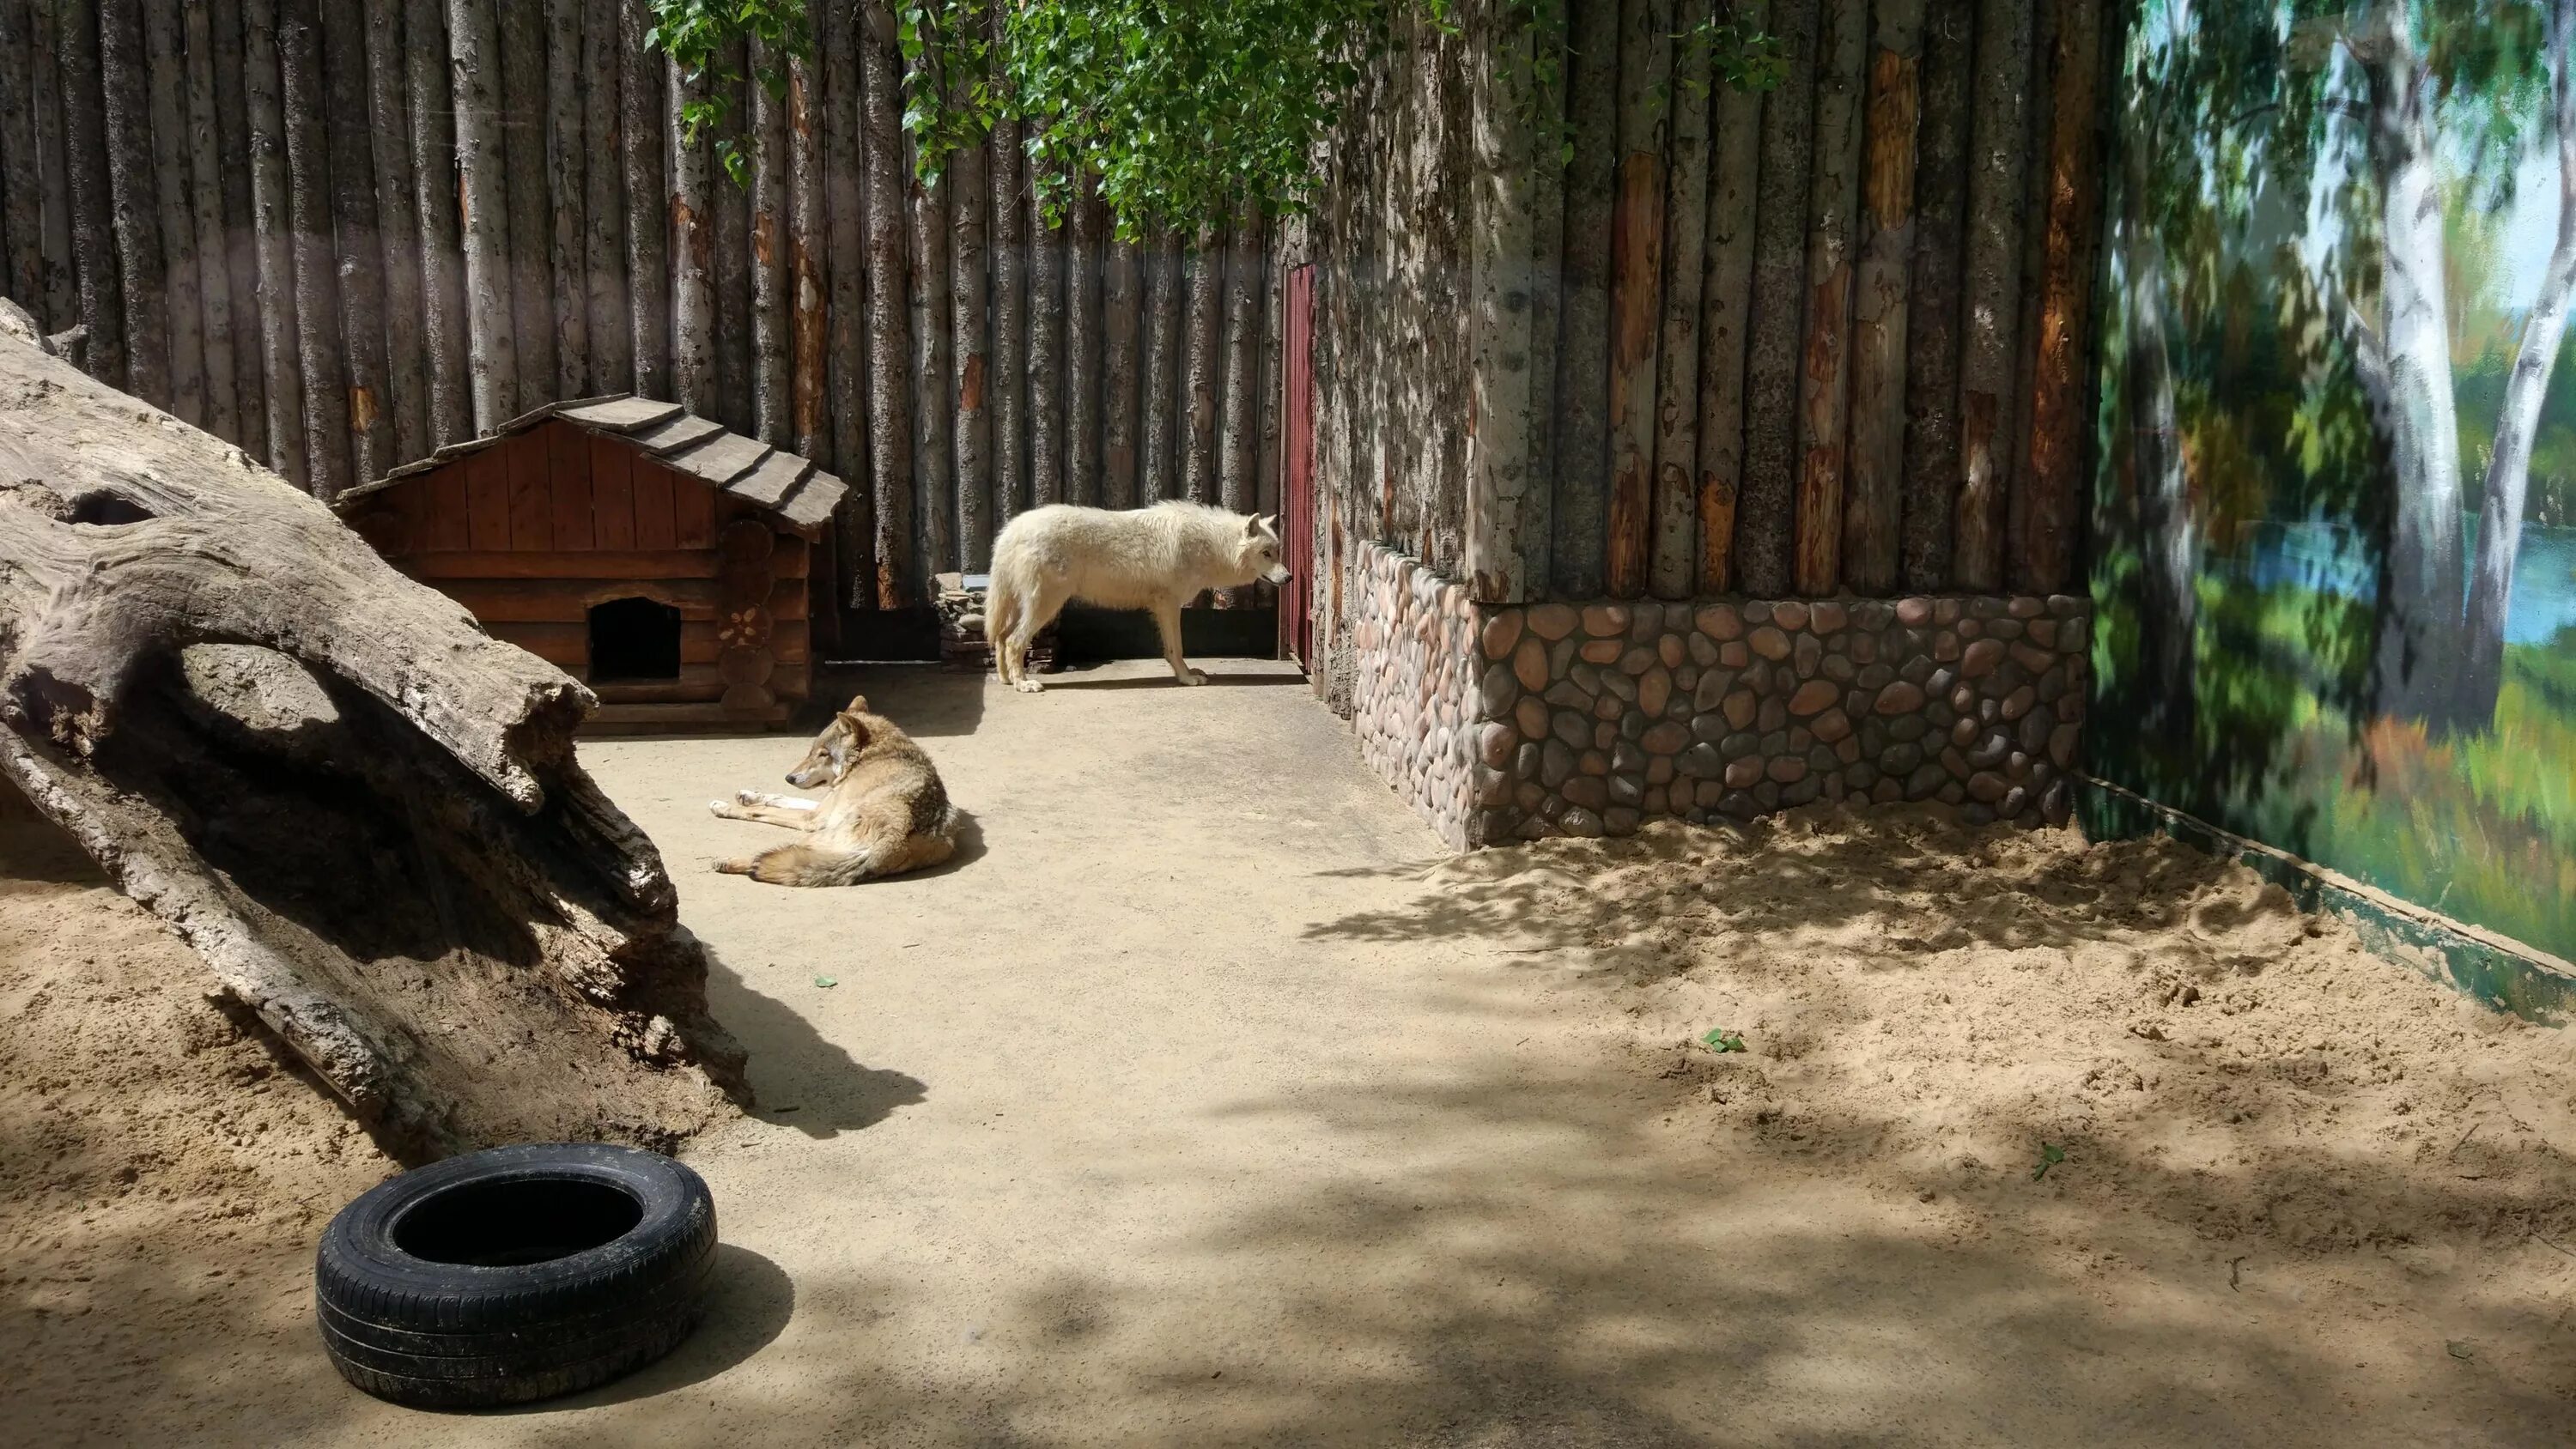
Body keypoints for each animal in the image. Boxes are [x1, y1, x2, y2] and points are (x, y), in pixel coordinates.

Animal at [994, 504, 1298, 689]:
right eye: (1266, 554)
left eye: (1278, 552)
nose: (1289, 578)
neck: (1209, 544)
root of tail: (1012, 528)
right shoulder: (1169, 605)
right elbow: (1177, 648)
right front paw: (1187, 679)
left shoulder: (1163, 607)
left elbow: (1171, 650)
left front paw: (1185, 675)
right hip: (1047, 606)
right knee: (1013, 641)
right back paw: (1024, 684)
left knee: (1000, 638)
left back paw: (1006, 680)